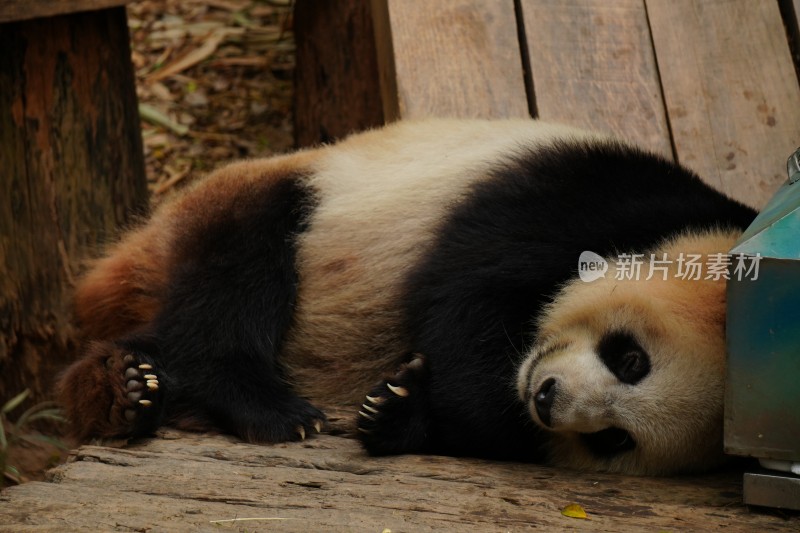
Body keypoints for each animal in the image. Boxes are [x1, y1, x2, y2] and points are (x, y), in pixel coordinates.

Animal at [56, 119, 756, 474]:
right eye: (630, 358)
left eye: (614, 439)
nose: (547, 398)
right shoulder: (571, 195)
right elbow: (463, 294)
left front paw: (398, 408)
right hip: (284, 199)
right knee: (234, 278)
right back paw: (258, 405)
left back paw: (126, 390)